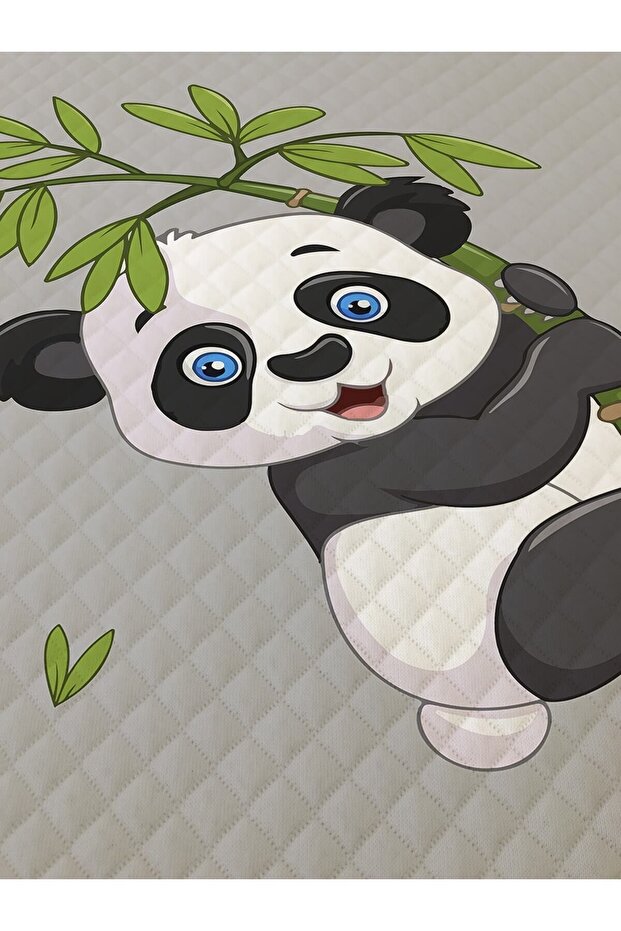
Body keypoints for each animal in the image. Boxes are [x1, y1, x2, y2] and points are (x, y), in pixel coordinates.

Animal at [2, 176, 621, 770]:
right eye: (211, 366)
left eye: (358, 304)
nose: (314, 359)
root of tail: (493, 715)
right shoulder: (331, 473)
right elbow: (488, 452)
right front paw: (582, 349)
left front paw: (539, 291)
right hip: (520, 623)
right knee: (561, 587)